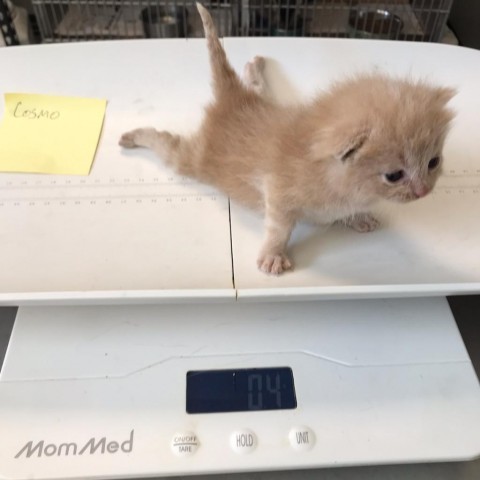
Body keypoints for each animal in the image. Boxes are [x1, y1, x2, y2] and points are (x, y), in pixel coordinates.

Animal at [119, 2, 454, 274]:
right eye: (394, 175)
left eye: (433, 162)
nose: (424, 191)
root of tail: (234, 100)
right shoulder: (277, 192)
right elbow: (278, 227)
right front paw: (273, 255)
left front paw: (357, 217)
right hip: (194, 159)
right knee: (165, 143)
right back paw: (133, 136)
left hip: (265, 100)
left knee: (256, 86)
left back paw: (254, 66)